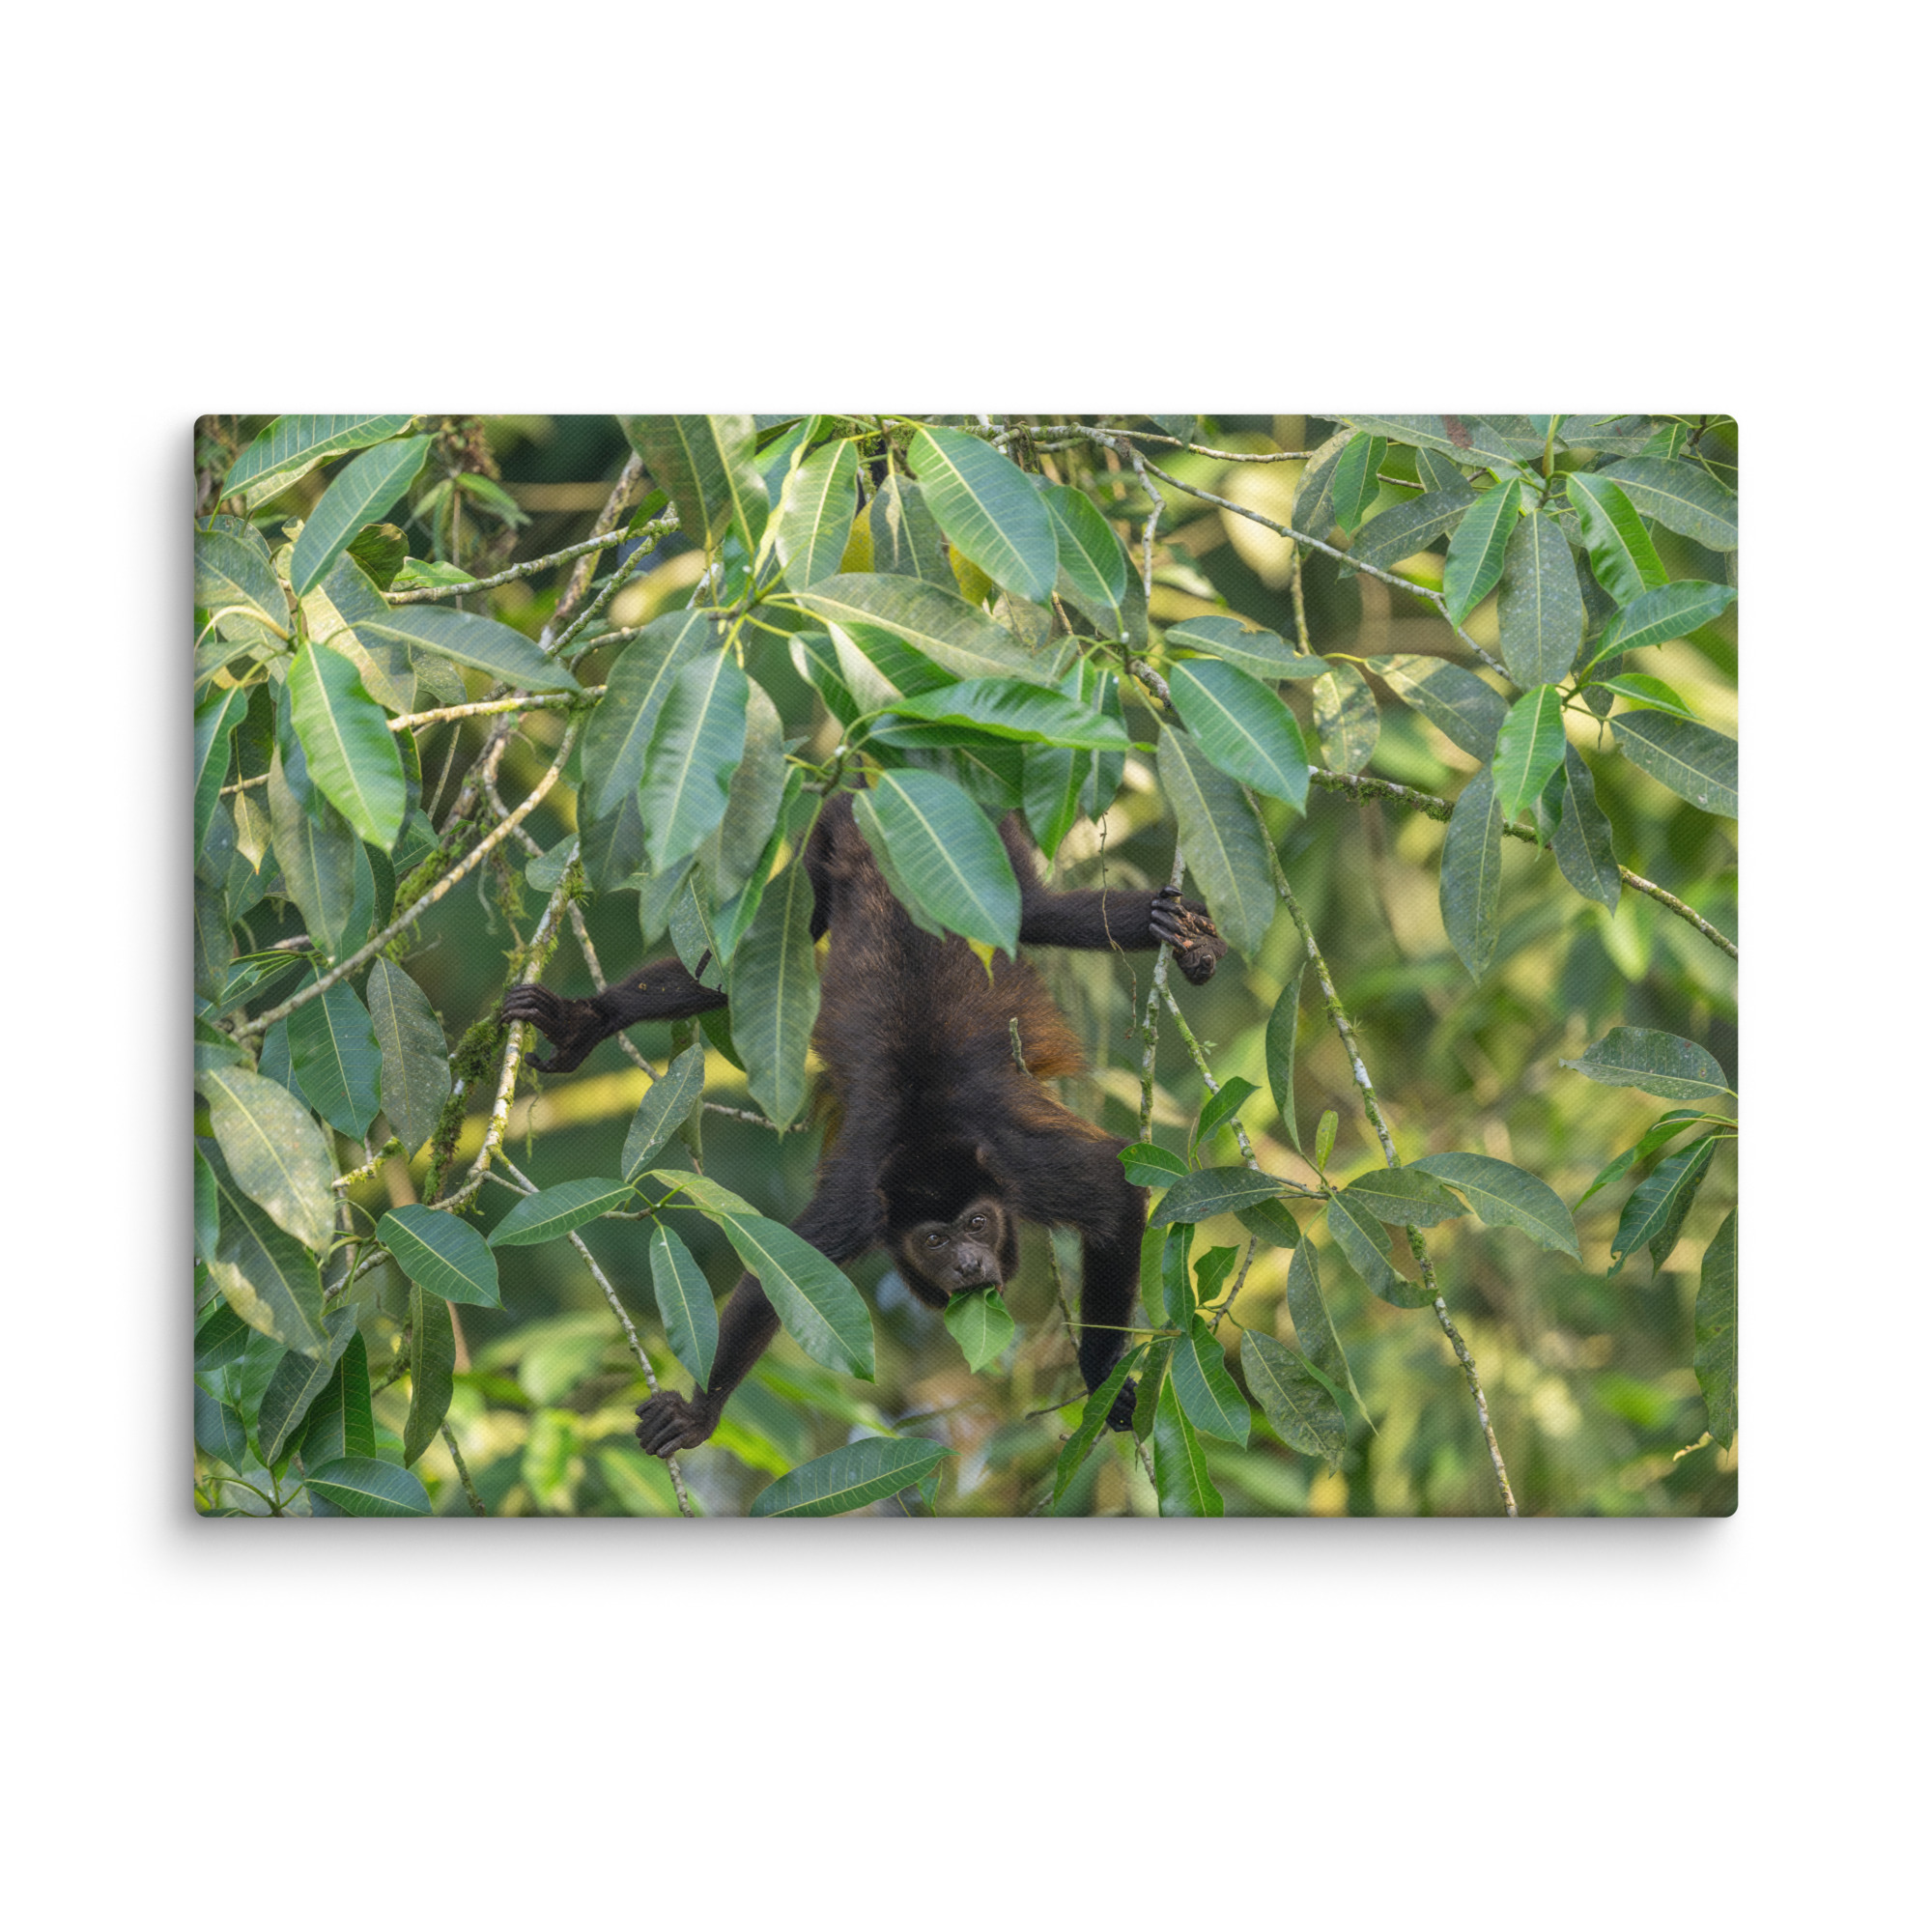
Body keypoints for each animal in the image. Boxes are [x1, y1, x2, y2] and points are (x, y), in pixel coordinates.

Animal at [501, 793, 1226, 1456]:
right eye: (934, 1239)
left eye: (977, 1224)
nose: (968, 1263)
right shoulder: (859, 1205)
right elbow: (781, 1273)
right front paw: (700, 1413)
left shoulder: (1022, 1167)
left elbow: (1113, 1188)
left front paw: (1101, 1375)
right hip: (825, 852)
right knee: (761, 952)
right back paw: (590, 1018)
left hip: (986, 846)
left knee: (1041, 912)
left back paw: (1182, 935)